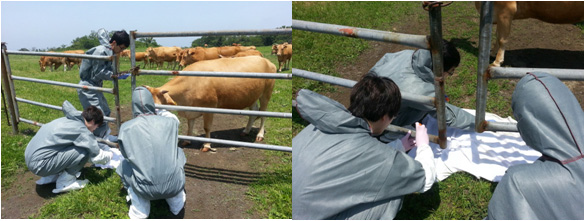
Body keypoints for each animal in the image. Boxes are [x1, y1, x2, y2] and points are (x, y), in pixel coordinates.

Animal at [144, 55, 276, 152]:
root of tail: (266, 60)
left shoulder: (209, 107)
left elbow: (207, 128)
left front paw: (207, 145)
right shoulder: (190, 109)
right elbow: (190, 125)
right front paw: (187, 140)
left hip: (266, 93)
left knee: (263, 114)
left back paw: (260, 135)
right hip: (251, 96)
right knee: (253, 112)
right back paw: (246, 131)